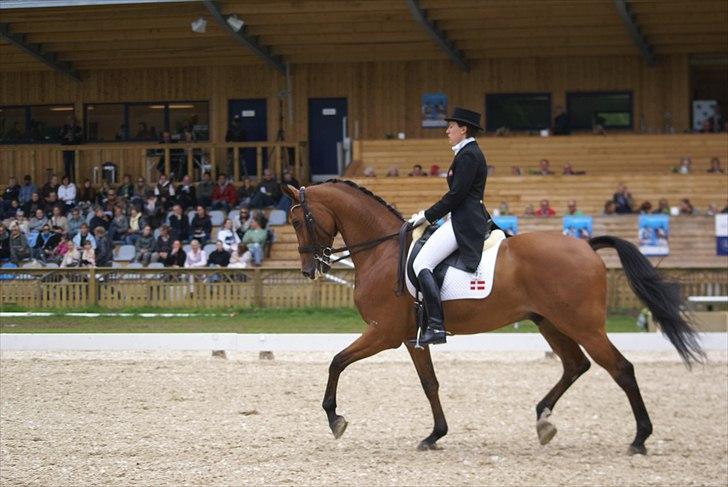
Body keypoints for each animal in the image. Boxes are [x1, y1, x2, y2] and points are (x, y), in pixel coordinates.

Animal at [282, 181, 704, 456]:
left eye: (299, 221)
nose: (308, 269)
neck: (383, 251)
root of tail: (585, 245)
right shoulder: (410, 336)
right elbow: (429, 383)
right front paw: (435, 435)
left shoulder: (383, 333)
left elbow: (336, 361)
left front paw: (335, 418)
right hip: (550, 323)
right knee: (575, 365)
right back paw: (543, 420)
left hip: (583, 326)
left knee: (620, 368)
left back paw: (639, 438)